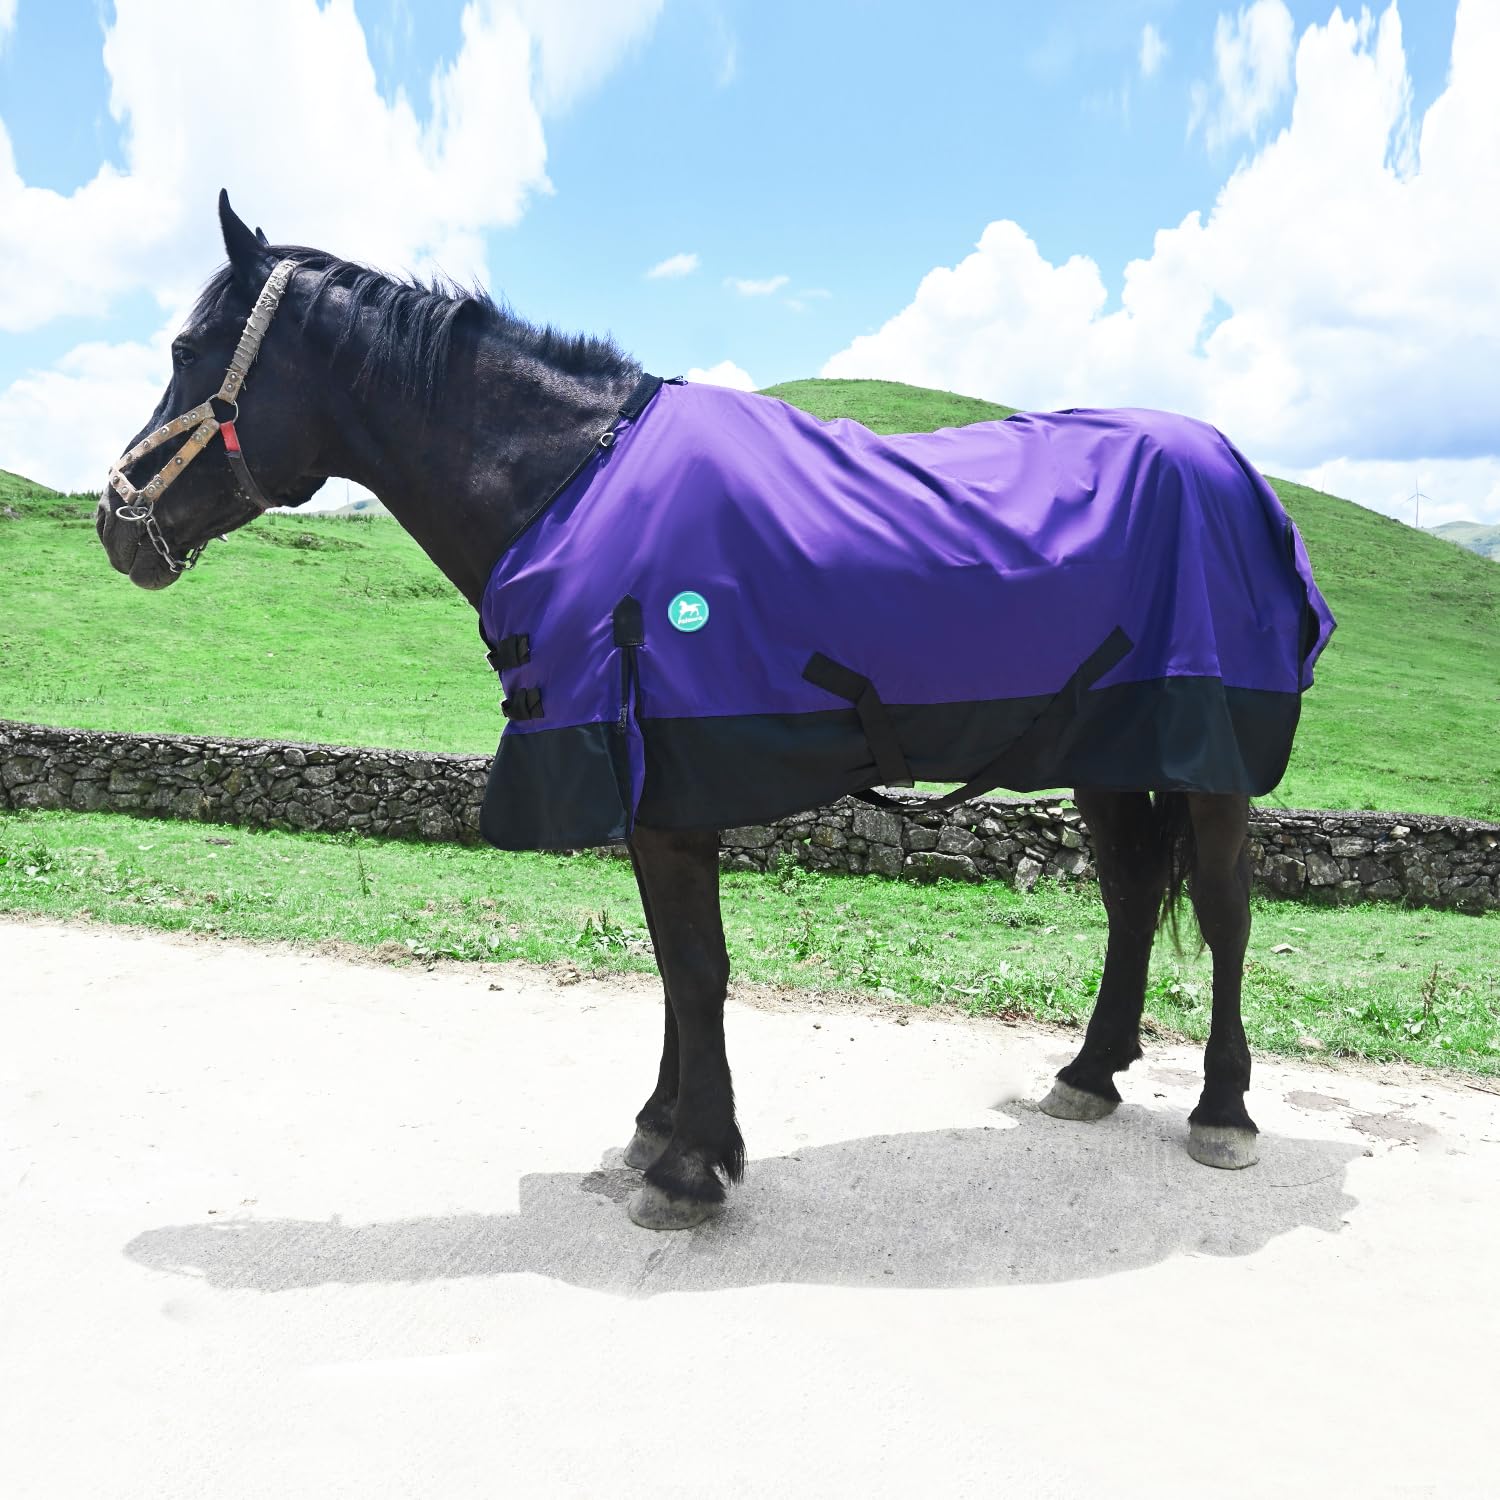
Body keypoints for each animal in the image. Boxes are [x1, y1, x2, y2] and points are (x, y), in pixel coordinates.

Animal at [96, 192, 1335, 1230]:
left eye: (186, 353)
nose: (115, 521)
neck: (569, 480)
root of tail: (1234, 470)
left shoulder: (669, 785)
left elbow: (695, 968)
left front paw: (693, 1166)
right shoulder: (650, 786)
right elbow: (671, 963)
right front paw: (661, 1131)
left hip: (1208, 758)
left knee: (1223, 911)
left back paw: (1223, 1110)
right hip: (1110, 747)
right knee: (1128, 897)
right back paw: (1088, 1073)